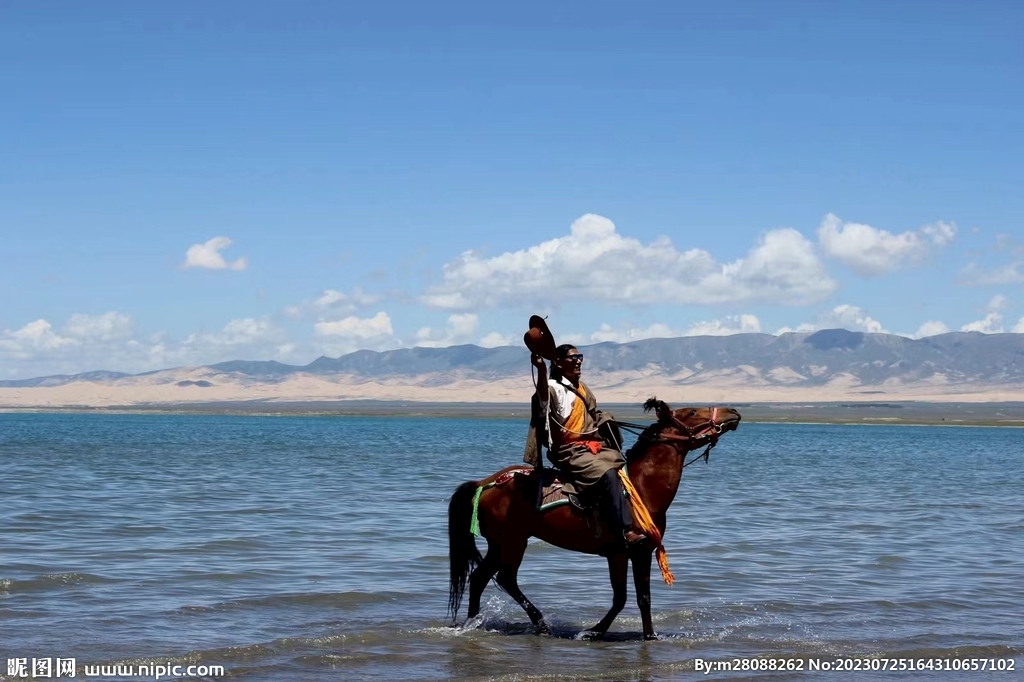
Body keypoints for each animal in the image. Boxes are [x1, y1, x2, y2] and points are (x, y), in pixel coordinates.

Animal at [444, 395, 741, 638]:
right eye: (692, 412)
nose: (733, 411)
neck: (642, 486)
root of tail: (485, 483)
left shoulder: (625, 553)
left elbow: (628, 597)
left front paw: (607, 632)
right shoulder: (633, 551)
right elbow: (635, 598)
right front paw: (619, 633)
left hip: (500, 544)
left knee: (479, 578)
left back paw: (472, 623)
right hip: (513, 543)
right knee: (506, 579)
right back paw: (540, 624)